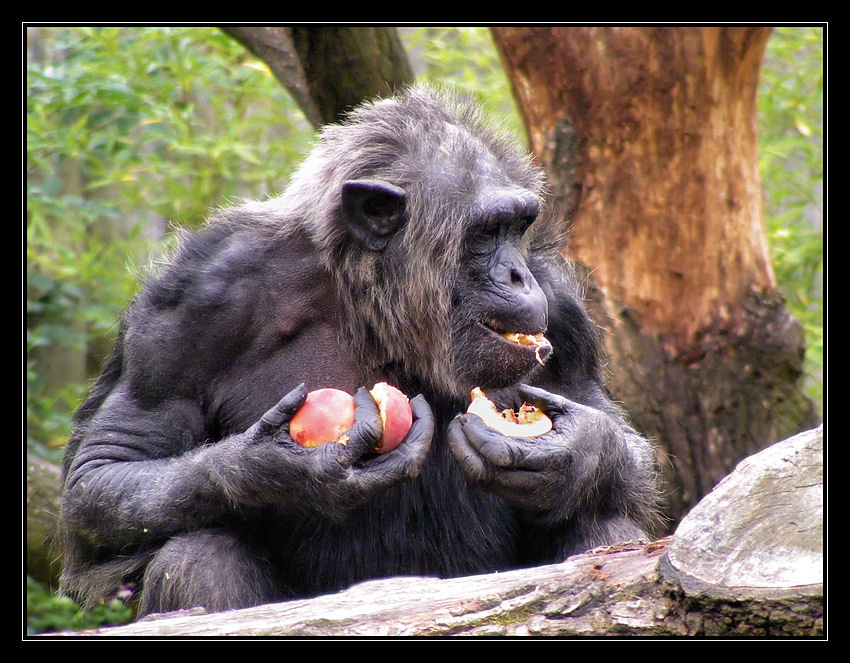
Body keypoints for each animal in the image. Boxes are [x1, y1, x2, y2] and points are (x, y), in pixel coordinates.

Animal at [59, 84, 660, 616]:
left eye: (518, 227)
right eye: (487, 232)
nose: (517, 273)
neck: (371, 301)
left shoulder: (561, 308)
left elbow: (608, 429)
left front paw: (569, 453)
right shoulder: (188, 307)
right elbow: (108, 467)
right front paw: (281, 468)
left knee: (602, 524)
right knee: (197, 554)